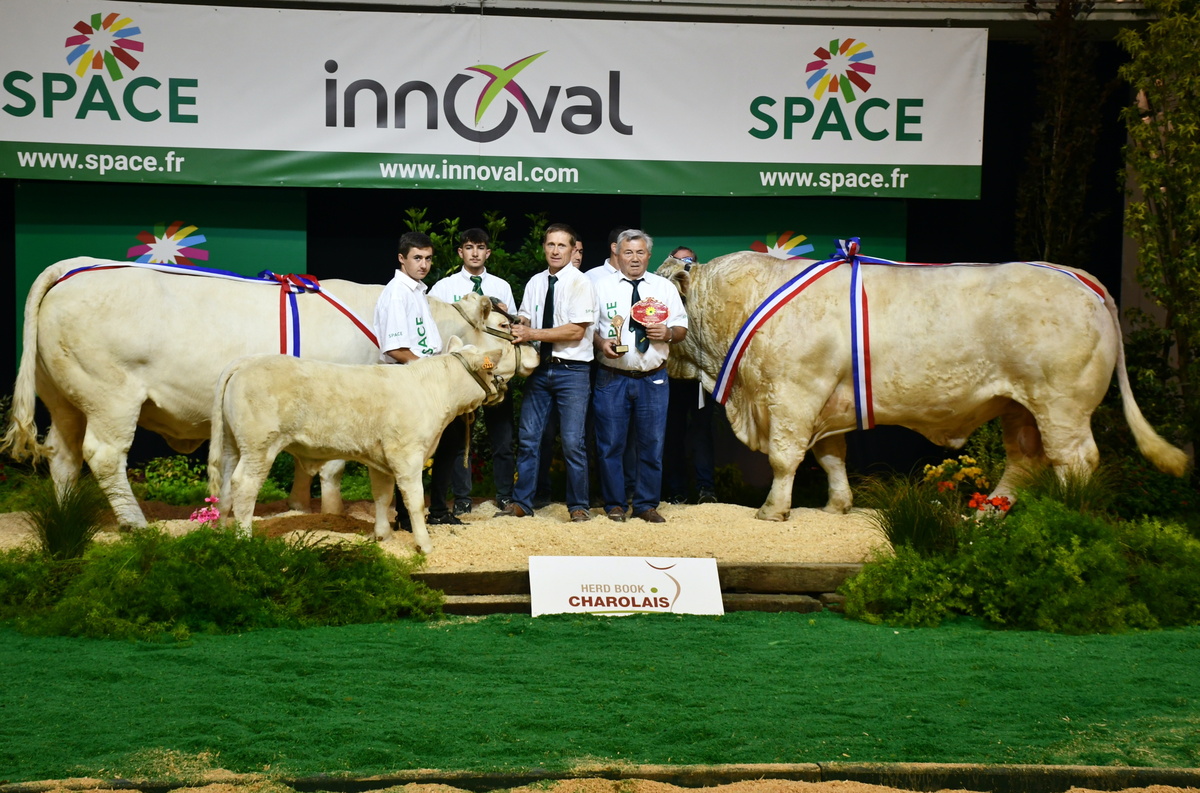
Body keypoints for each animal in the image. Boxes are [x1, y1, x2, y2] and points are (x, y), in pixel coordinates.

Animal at [0, 255, 511, 525]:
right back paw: (136, 524)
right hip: (112, 397)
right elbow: (332, 466)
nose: (527, 350)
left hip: (64, 400)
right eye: (506, 326)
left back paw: (66, 519)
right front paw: (330, 512)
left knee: (62, 457)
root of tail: (75, 267)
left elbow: (306, 463)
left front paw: (300, 507)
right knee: (103, 456)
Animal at [211, 335, 540, 549]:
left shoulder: (380, 459)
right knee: (244, 485)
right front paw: (424, 544)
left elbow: (382, 496)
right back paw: (243, 539)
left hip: (231, 445)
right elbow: (414, 500)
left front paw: (383, 536)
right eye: (499, 356)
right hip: (259, 446)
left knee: (225, 486)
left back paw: (221, 533)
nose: (533, 352)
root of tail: (245, 362)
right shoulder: (407, 455)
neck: (434, 391)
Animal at [657, 249, 1190, 520]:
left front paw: (773, 510)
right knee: (1024, 463)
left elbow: (785, 458)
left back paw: (1067, 513)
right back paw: (988, 515)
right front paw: (837, 505)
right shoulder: (827, 404)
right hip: (1018, 408)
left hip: (1062, 405)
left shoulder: (792, 394)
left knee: (1073, 462)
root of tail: (1078, 275)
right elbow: (831, 458)